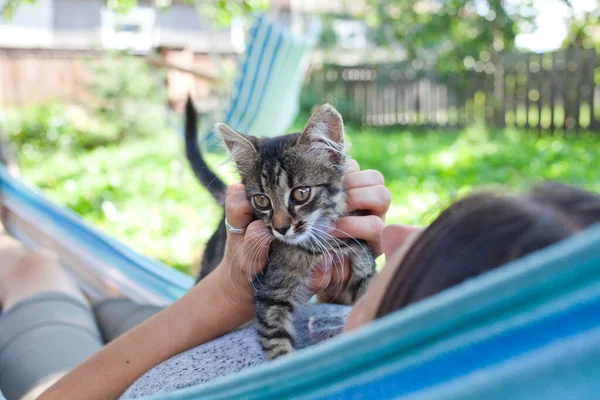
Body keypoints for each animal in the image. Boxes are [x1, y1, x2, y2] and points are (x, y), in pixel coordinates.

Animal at [216, 104, 376, 360]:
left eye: (301, 194)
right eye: (262, 200)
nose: (281, 228)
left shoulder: (361, 273)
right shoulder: (270, 294)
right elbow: (278, 345)